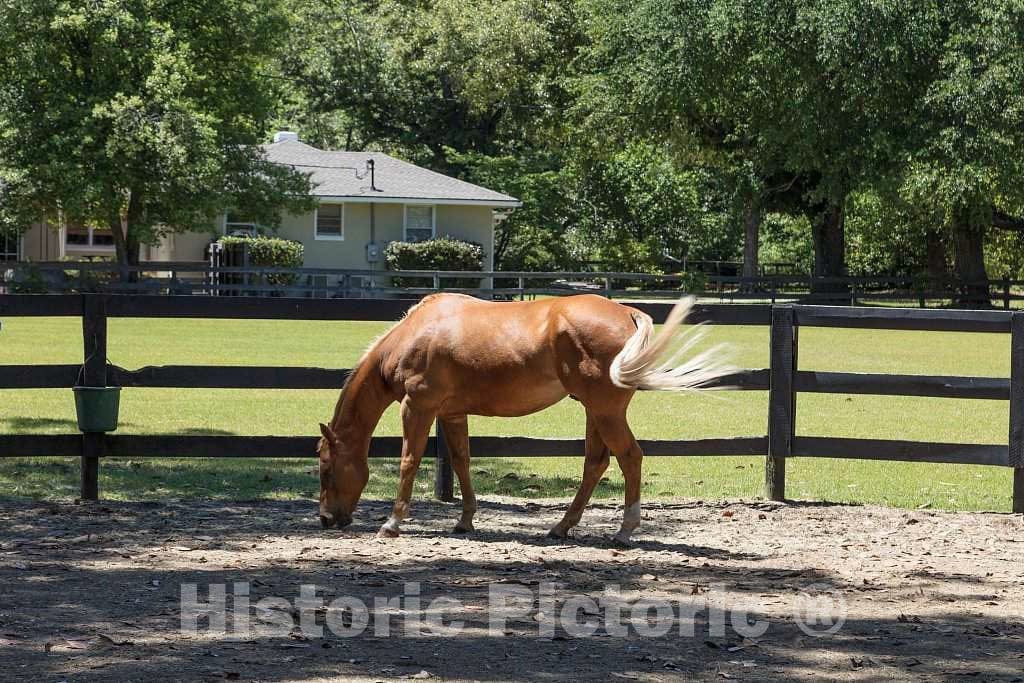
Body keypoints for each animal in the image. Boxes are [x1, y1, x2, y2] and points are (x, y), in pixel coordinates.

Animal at [317, 293, 731, 543]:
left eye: (325, 467)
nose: (325, 519)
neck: (416, 334)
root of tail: (628, 313)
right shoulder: (452, 414)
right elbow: (462, 462)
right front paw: (465, 520)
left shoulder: (417, 407)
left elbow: (409, 461)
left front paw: (392, 523)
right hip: (595, 411)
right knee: (595, 463)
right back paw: (562, 526)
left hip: (605, 412)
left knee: (630, 457)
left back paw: (625, 530)